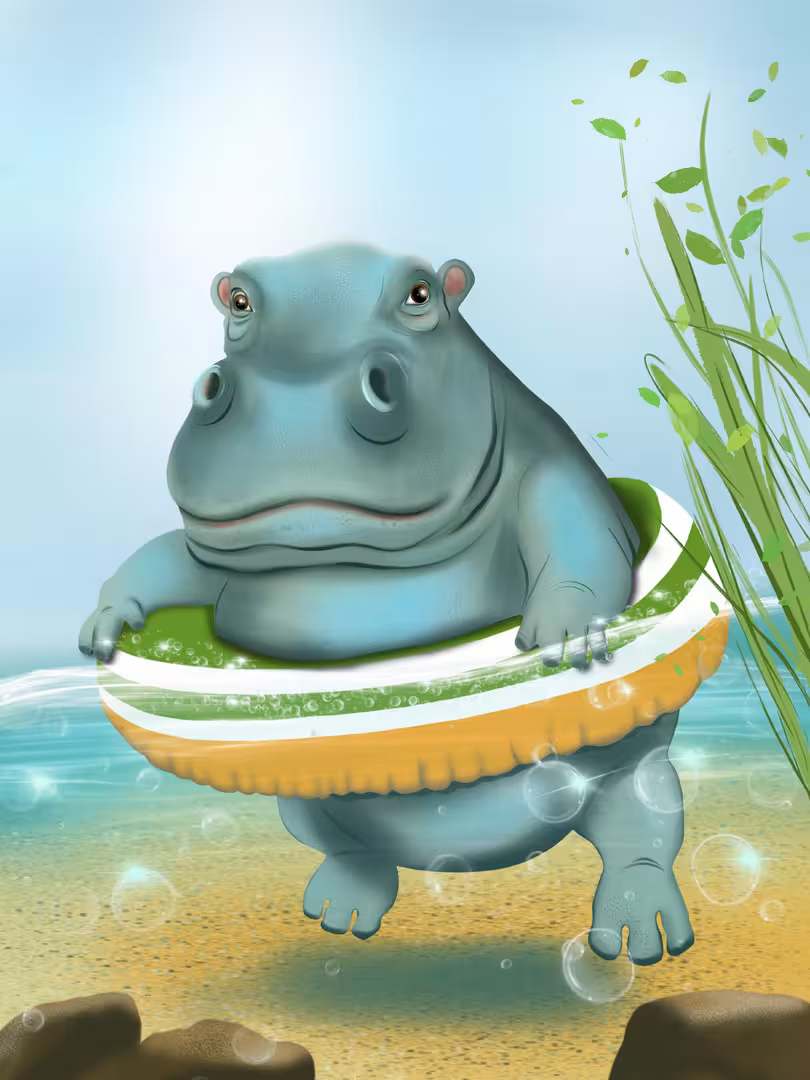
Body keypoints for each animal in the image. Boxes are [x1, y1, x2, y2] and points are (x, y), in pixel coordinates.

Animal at [80, 243, 696, 965]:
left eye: (420, 293)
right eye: (237, 300)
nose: (294, 399)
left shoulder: (555, 473)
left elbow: (579, 531)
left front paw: (564, 636)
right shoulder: (208, 558)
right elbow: (165, 556)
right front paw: (104, 623)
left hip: (635, 773)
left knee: (642, 834)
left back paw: (635, 939)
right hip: (305, 803)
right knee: (350, 849)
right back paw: (339, 911)